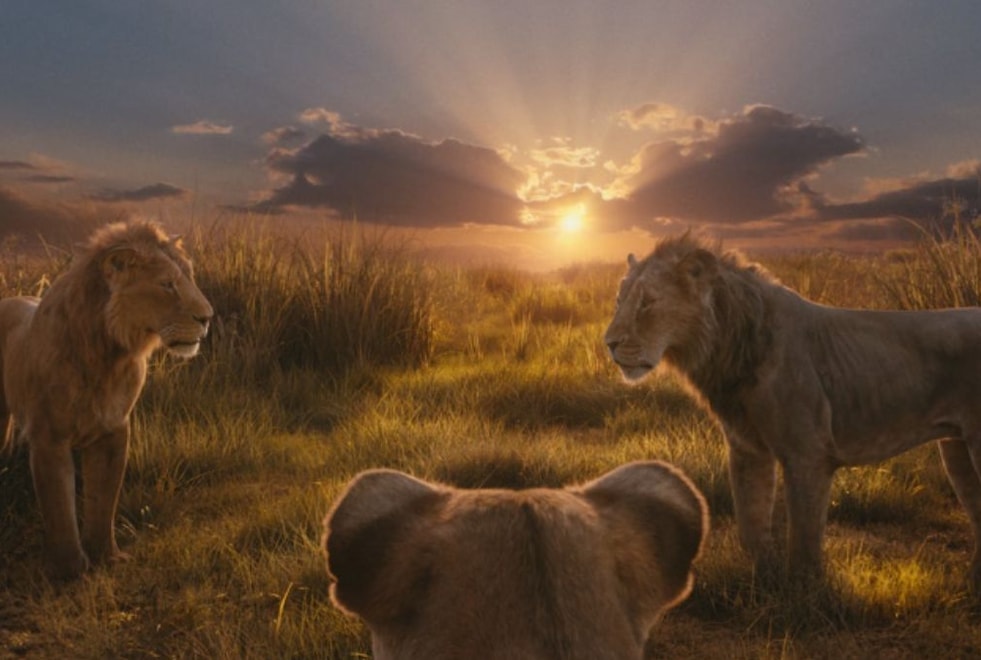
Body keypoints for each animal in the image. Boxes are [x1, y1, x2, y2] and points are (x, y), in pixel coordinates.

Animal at [0, 220, 213, 580]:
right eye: (167, 284)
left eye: (189, 277)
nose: (207, 317)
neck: (107, 355)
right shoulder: (49, 438)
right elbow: (60, 507)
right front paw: (69, 570)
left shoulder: (114, 430)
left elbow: (103, 500)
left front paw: (106, 557)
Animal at [604, 233, 981, 591]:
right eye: (619, 300)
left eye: (647, 302)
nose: (608, 343)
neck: (729, 346)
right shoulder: (747, 450)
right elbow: (751, 526)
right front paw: (764, 583)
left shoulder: (807, 454)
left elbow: (803, 539)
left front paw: (805, 594)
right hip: (956, 450)